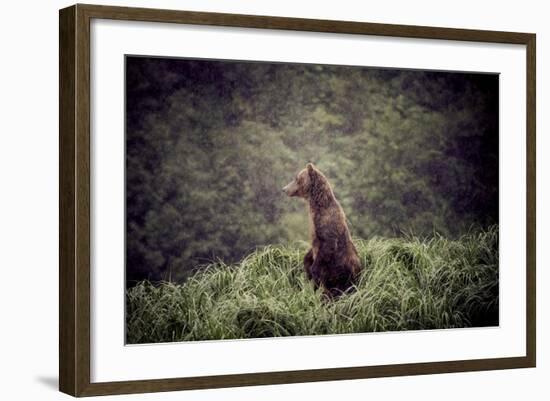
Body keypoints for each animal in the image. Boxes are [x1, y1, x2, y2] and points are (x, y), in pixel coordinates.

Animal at [284, 162, 362, 296]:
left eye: (296, 178)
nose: (284, 189)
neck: (318, 207)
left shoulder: (327, 228)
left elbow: (326, 248)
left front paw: (313, 271)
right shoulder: (315, 231)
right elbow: (309, 254)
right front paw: (307, 265)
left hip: (346, 275)